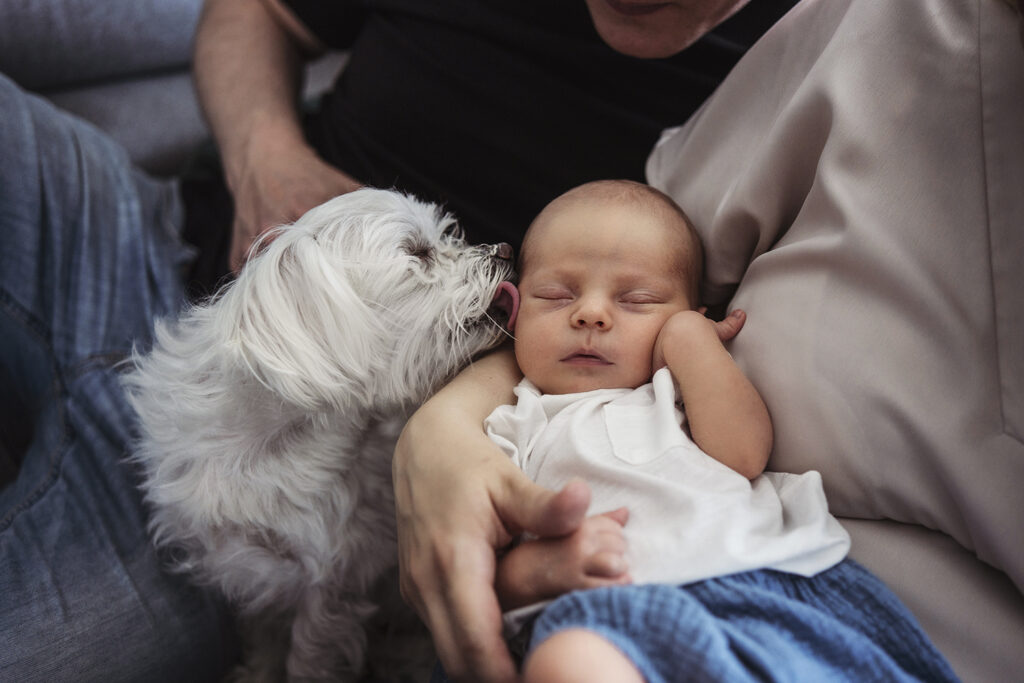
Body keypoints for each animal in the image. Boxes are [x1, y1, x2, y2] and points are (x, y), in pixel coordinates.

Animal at [123, 188, 516, 683]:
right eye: (417, 253)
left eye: (449, 233)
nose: (507, 249)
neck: (277, 451)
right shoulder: (245, 569)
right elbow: (265, 637)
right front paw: (256, 671)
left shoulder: (328, 589)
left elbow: (309, 661)